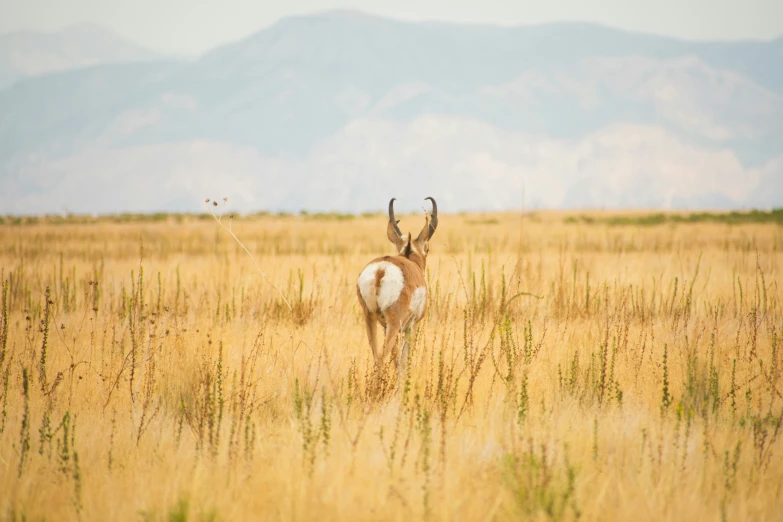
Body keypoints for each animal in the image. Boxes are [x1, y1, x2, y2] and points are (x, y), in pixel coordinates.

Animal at [356, 195, 438, 370]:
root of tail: (381, 269)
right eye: (427, 249)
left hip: (371, 319)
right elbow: (404, 361)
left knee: (376, 358)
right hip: (393, 324)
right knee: (381, 360)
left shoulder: (385, 326)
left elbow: (396, 360)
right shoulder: (411, 326)